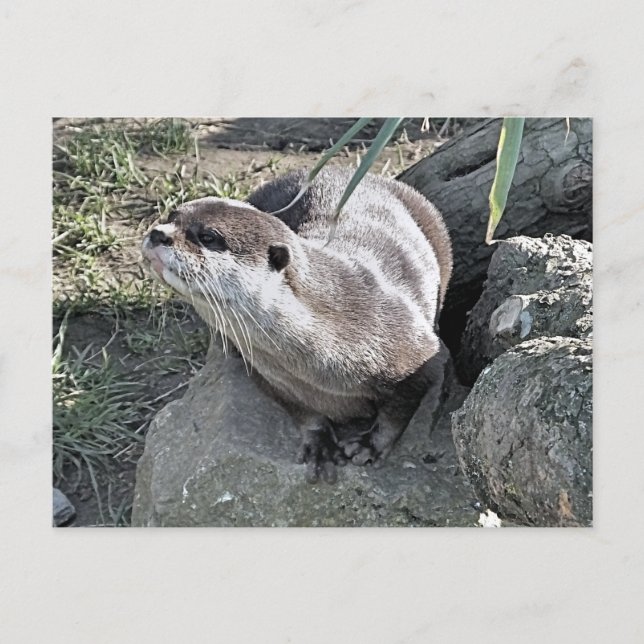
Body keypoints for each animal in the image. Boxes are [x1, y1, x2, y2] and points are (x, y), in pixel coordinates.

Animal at [141, 168, 452, 482]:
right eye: (172, 215)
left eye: (207, 236)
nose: (158, 233)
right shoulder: (269, 376)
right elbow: (300, 410)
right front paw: (319, 443)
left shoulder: (417, 351)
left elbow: (401, 407)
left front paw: (370, 445)